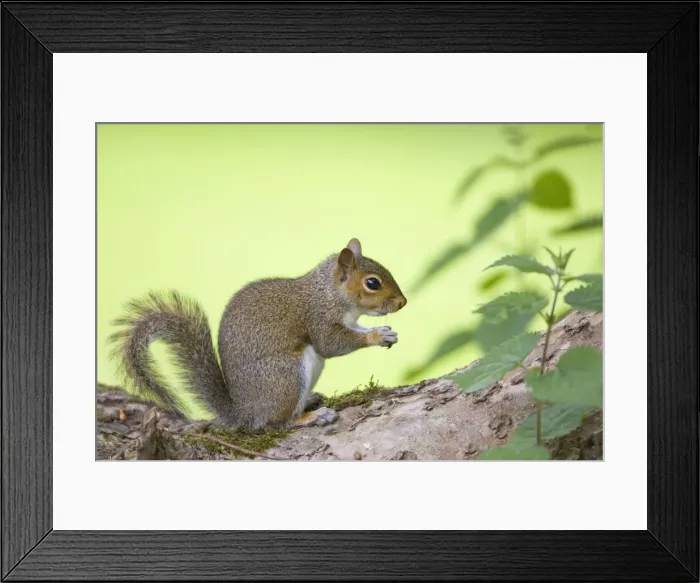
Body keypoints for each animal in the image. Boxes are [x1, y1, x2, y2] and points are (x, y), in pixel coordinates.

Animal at [107, 238, 407, 430]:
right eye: (372, 283)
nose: (402, 302)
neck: (329, 293)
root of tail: (245, 412)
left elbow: (357, 329)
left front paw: (385, 332)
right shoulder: (318, 318)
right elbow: (332, 344)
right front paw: (376, 337)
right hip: (286, 376)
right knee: (279, 422)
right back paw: (309, 417)